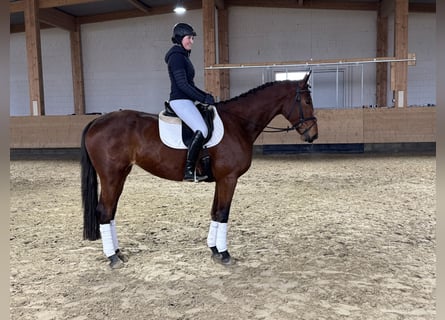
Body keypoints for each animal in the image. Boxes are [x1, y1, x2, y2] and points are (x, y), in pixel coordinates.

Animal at [80, 74, 316, 268]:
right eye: (306, 101)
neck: (237, 123)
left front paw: (214, 250)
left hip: (120, 175)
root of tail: (97, 121)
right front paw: (225, 254)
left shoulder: (221, 180)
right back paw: (113, 258)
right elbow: (223, 213)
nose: (313, 135)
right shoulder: (229, 179)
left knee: (111, 212)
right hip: (111, 176)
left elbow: (215, 212)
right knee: (104, 211)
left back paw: (118, 253)